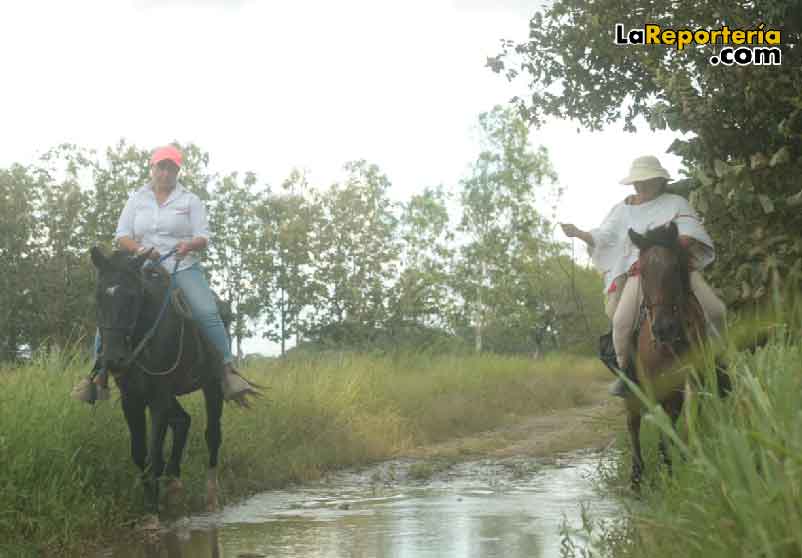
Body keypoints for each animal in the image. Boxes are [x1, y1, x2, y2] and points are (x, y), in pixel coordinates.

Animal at [91, 248, 228, 516]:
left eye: (132, 296)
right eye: (99, 296)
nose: (113, 359)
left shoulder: (158, 398)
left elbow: (153, 456)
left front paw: (155, 513)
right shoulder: (132, 398)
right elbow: (139, 454)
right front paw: (152, 507)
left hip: (212, 385)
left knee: (212, 435)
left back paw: (210, 496)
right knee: (183, 421)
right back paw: (174, 485)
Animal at [620, 223, 708, 490]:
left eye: (674, 268)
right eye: (643, 273)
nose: (663, 328)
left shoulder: (688, 382)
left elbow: (685, 423)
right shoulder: (654, 388)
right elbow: (662, 430)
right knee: (633, 423)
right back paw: (636, 477)